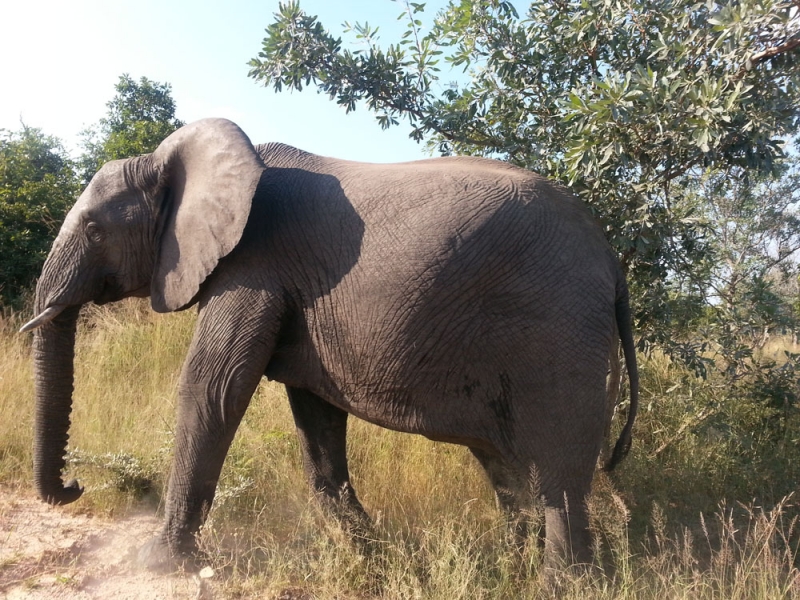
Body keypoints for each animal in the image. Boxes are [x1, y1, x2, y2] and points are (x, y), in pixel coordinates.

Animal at [20, 117, 636, 572]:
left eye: (95, 230)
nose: (74, 486)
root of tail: (612, 258)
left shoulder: (253, 265)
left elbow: (212, 388)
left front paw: (158, 563)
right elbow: (314, 413)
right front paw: (375, 556)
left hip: (559, 327)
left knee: (559, 479)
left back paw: (562, 581)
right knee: (509, 470)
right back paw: (517, 565)